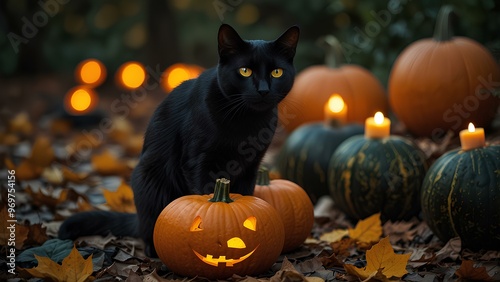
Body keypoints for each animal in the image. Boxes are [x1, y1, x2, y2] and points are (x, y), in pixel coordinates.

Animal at [58, 24, 300, 256]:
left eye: (277, 72)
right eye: (245, 71)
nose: (263, 90)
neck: (246, 124)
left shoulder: (251, 165)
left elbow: (246, 193)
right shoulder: (198, 160)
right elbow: (204, 192)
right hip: (149, 180)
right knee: (147, 228)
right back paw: (153, 250)